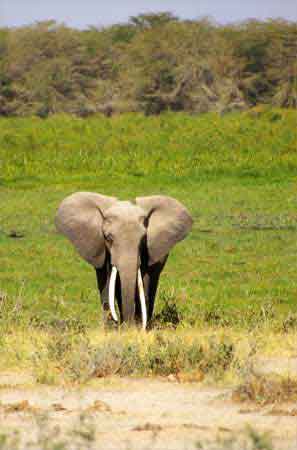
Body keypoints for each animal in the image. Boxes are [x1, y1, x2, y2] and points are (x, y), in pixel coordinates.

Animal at [54, 192, 192, 328]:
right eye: (108, 238)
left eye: (143, 240)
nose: (127, 324)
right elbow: (107, 284)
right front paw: (112, 328)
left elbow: (144, 283)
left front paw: (137, 328)